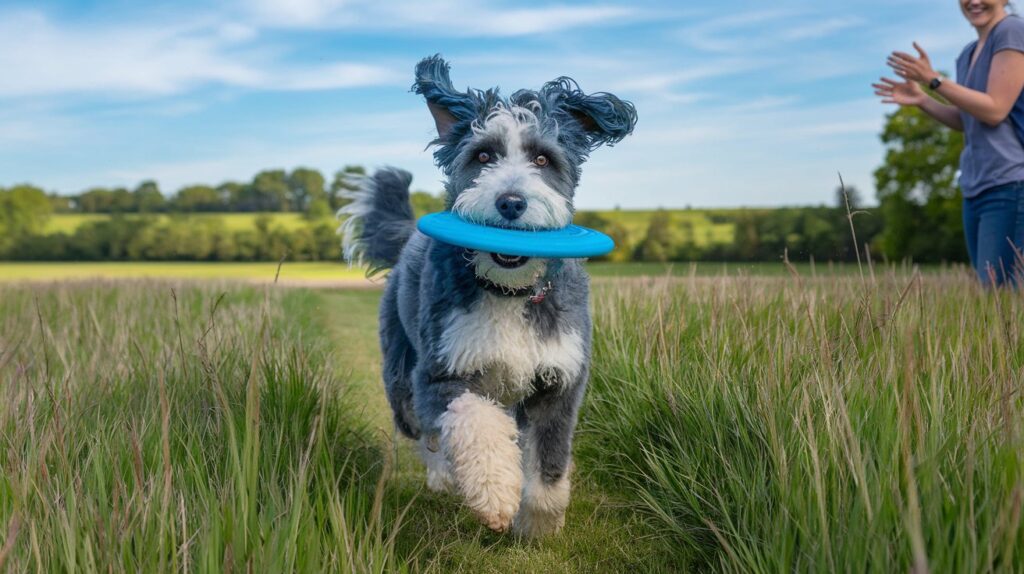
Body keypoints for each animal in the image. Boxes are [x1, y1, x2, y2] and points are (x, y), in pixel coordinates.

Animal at [339, 56, 634, 536]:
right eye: (483, 156)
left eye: (542, 158)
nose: (511, 202)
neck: (509, 292)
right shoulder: (440, 371)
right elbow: (472, 421)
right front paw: (496, 494)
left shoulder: (560, 380)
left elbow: (549, 459)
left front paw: (539, 525)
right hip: (400, 371)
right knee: (424, 431)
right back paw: (443, 476)